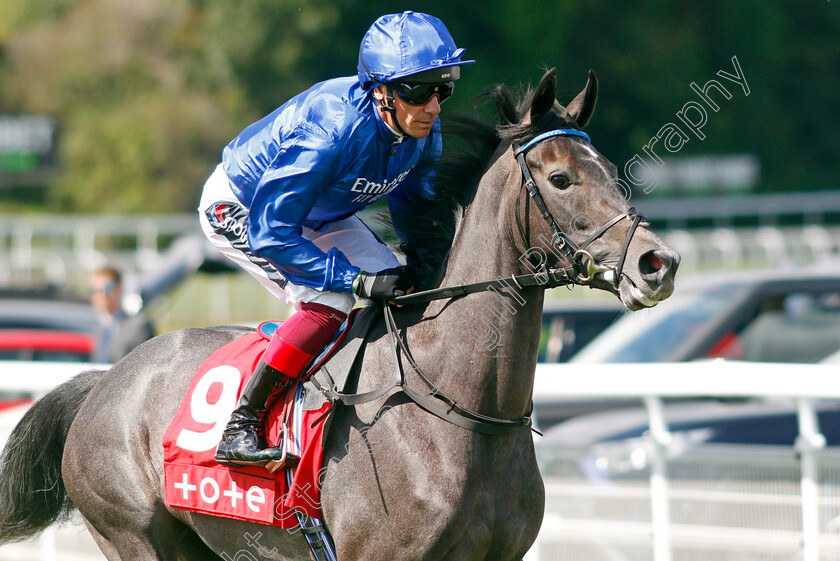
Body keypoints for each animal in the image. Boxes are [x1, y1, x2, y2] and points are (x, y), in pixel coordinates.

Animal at [0, 70, 680, 560]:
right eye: (560, 178)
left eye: (611, 172)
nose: (659, 263)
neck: (461, 412)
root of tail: (105, 380)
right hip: (136, 535)